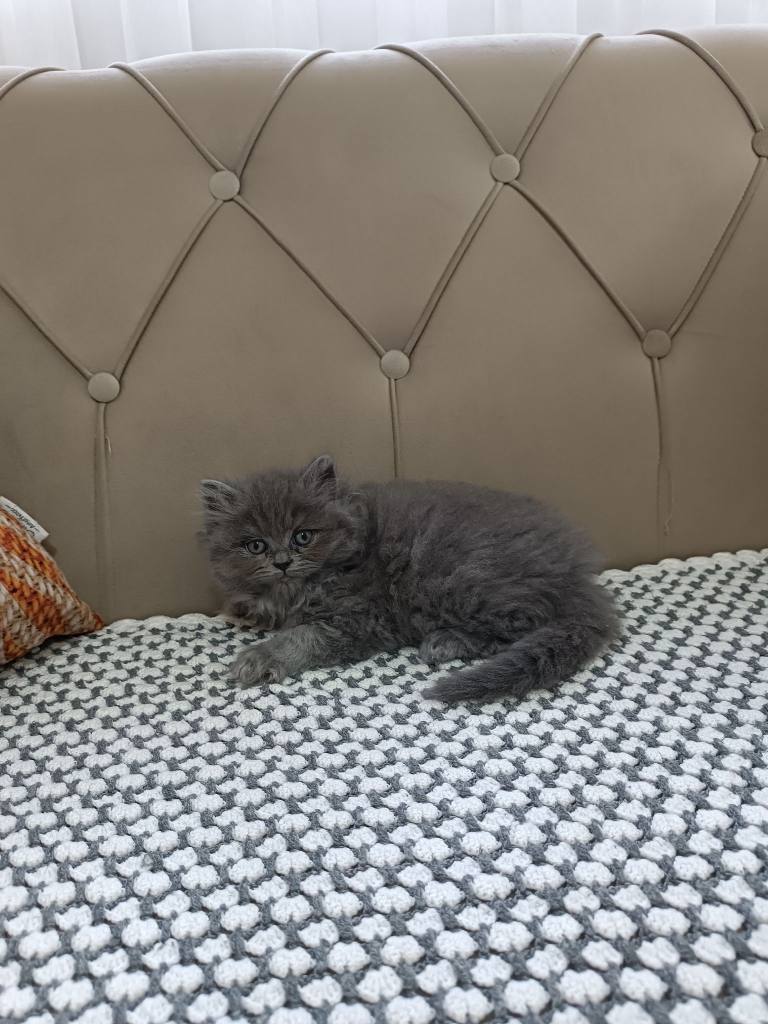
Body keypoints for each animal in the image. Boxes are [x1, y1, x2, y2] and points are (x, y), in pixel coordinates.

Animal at [200, 455, 618, 703]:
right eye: (255, 545)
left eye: (303, 536)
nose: (283, 562)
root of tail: (576, 575)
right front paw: (245, 610)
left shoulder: (361, 619)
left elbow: (302, 636)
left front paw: (259, 657)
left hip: (461, 581)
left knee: (524, 622)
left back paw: (446, 641)